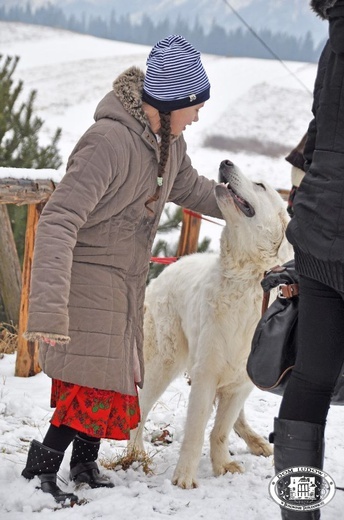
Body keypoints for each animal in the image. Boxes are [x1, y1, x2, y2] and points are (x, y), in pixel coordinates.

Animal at [129, 158, 292, 488]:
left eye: (260, 186)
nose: (226, 162)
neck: (247, 278)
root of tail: (172, 266)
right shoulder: (205, 374)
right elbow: (196, 430)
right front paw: (184, 478)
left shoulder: (242, 380)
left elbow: (220, 429)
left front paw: (222, 465)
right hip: (163, 362)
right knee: (142, 405)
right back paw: (136, 452)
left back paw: (255, 441)